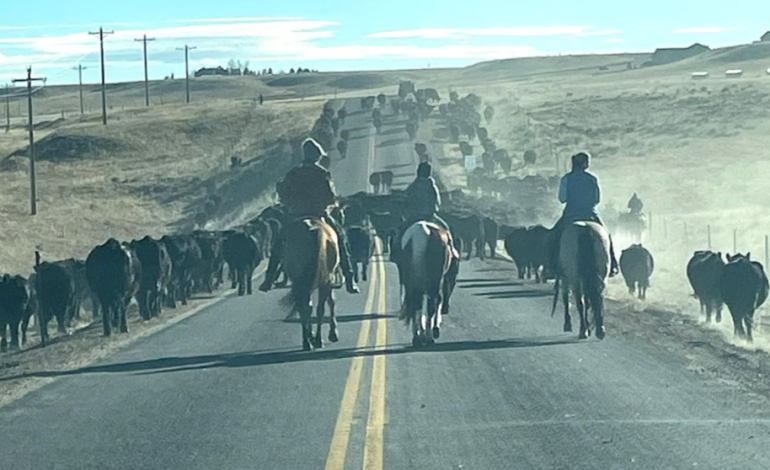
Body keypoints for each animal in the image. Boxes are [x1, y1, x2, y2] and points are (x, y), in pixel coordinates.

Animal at [280, 217, 340, 348]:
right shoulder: (327, 281)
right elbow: (330, 302)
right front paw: (333, 333)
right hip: (323, 281)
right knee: (318, 309)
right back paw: (317, 340)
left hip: (303, 282)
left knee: (306, 307)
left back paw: (307, 341)